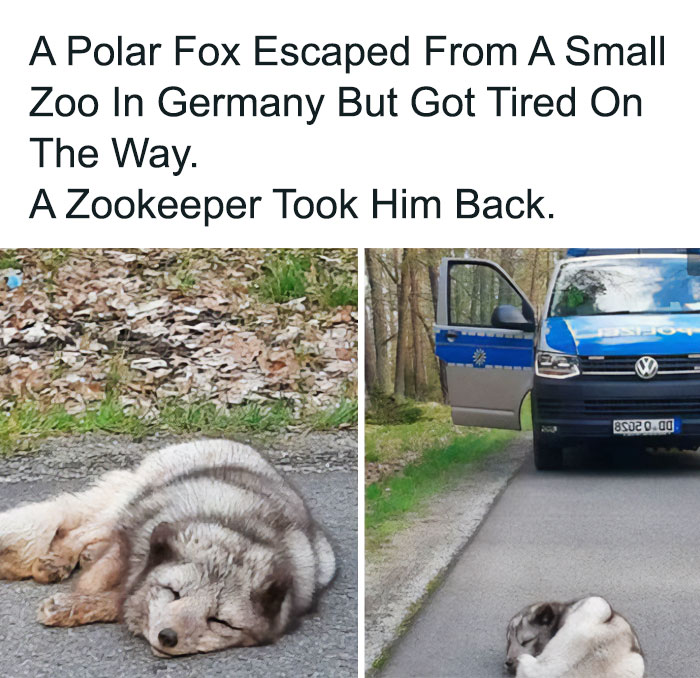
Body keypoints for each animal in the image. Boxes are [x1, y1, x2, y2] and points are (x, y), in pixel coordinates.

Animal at [0, 439, 336, 657]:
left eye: (219, 621)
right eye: (174, 593)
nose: (168, 637)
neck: (240, 532)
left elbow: (118, 599)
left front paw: (83, 604)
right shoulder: (131, 537)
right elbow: (102, 584)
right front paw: (76, 599)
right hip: (128, 504)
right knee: (81, 529)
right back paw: (57, 560)